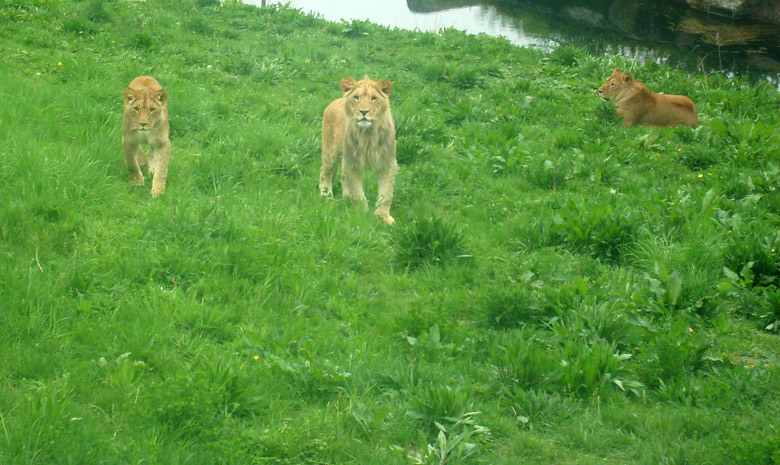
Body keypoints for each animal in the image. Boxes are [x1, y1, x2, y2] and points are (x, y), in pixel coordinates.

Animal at [320, 75, 400, 224]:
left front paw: (383, 216)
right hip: (331, 152)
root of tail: (335, 101)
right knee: (325, 172)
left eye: (374, 98)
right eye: (356, 97)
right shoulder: (353, 163)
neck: (368, 135)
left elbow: (386, 194)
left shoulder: (388, 163)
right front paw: (363, 215)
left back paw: (346, 197)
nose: (364, 112)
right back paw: (326, 195)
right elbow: (358, 193)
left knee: (343, 175)